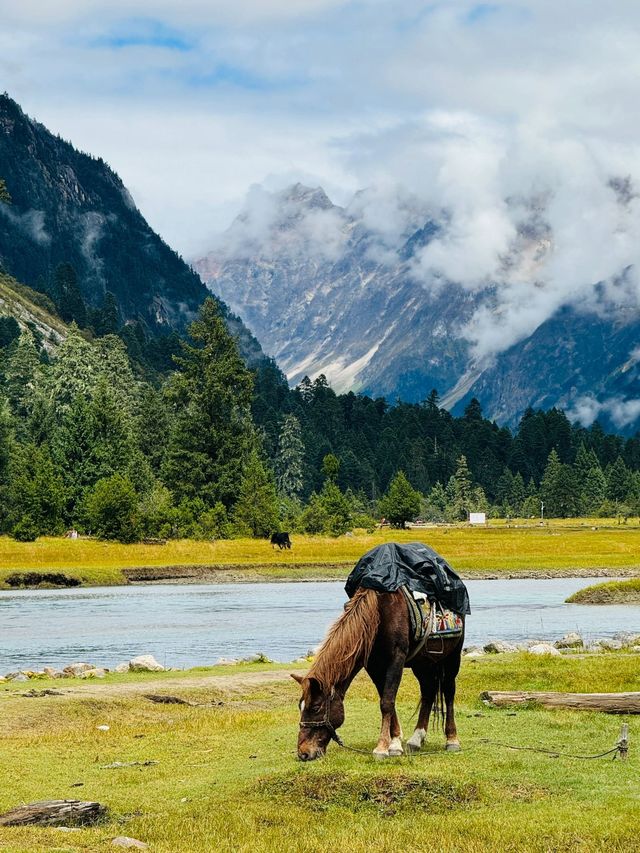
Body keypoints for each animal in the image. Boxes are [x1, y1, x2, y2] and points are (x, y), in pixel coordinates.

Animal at [292, 584, 462, 760]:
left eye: (316, 707)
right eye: (300, 705)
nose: (303, 753)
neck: (377, 617)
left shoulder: (396, 659)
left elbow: (387, 702)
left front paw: (382, 749)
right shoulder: (374, 667)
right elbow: (387, 700)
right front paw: (394, 743)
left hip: (452, 657)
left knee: (449, 691)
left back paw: (452, 740)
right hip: (422, 663)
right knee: (428, 692)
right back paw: (416, 740)